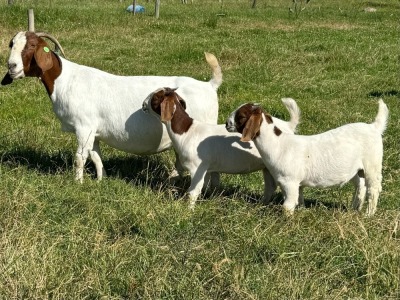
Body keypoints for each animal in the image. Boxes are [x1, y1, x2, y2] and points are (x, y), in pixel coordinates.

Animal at [0, 32, 222, 183]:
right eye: (11, 44)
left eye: (32, 45)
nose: (11, 66)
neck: (66, 80)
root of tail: (209, 85)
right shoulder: (94, 132)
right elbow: (95, 156)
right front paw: (101, 179)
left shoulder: (83, 127)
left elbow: (80, 157)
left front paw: (77, 183)